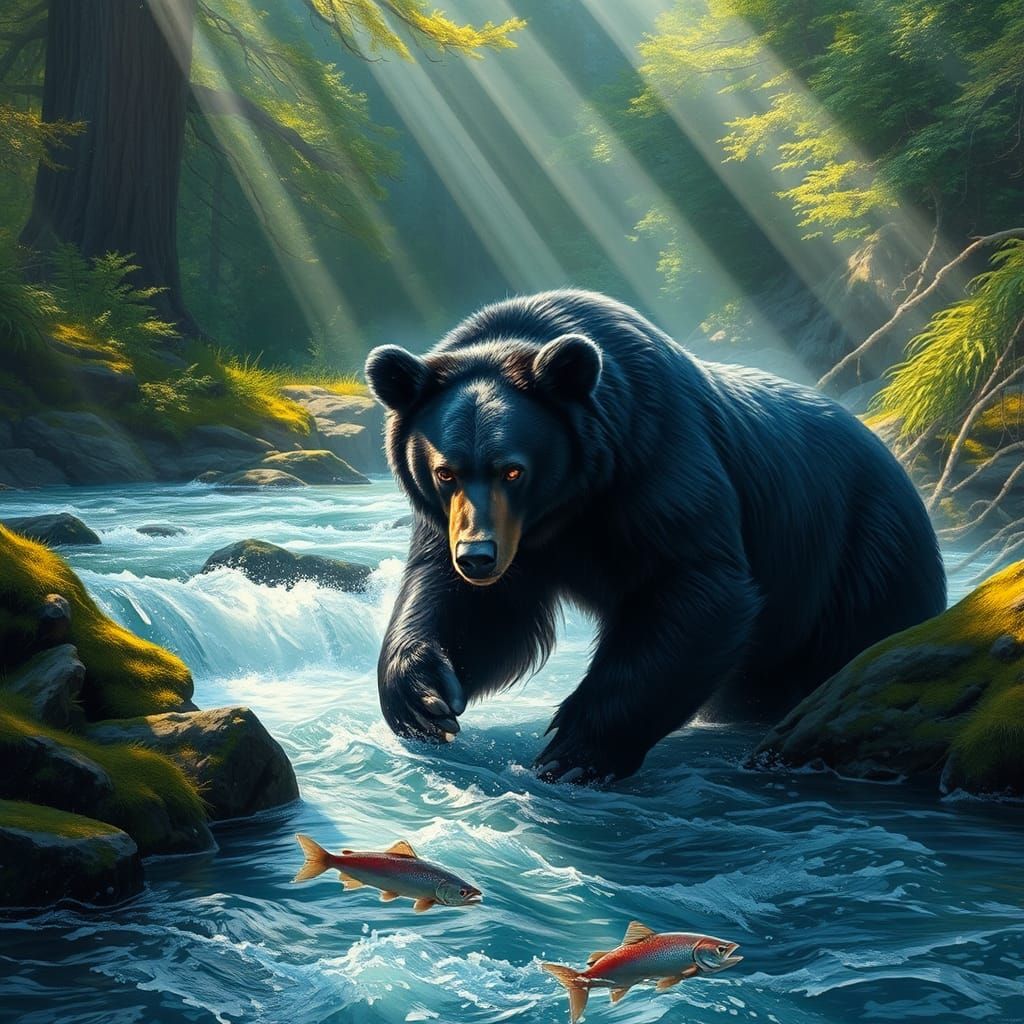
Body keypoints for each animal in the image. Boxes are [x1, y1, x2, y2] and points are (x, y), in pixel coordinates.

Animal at [364, 289, 946, 783]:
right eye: (445, 471)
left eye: (513, 470)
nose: (478, 556)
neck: (568, 507)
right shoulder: (499, 536)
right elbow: (475, 610)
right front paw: (423, 699)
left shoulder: (655, 459)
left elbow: (696, 585)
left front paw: (573, 752)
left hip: (865, 557)